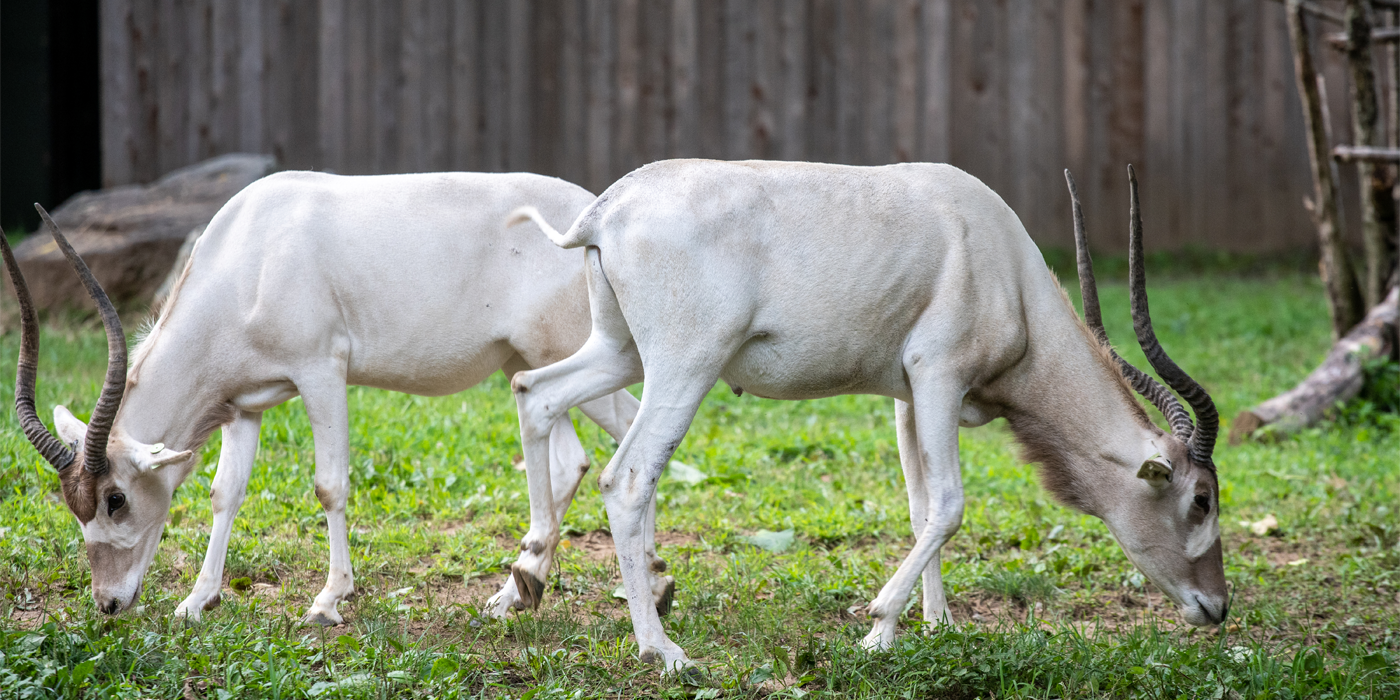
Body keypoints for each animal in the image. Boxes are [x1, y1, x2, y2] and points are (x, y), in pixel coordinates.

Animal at [0, 172, 646, 627]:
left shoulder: (321, 373)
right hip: (526, 361)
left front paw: (328, 600)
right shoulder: (244, 406)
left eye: (114, 499)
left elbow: (329, 485)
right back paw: (517, 593)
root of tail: (598, 213)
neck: (249, 259)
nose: (108, 603)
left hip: (584, 354)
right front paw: (197, 600)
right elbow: (224, 493)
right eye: (74, 508)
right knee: (570, 459)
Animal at [506, 161, 1226, 669]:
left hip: (619, 351)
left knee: (535, 391)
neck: (1004, 267)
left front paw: (936, 625)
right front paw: (878, 629)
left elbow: (921, 507)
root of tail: (606, 212)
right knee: (627, 477)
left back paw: (526, 581)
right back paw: (663, 651)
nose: (1216, 606)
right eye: (1200, 499)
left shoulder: (910, 397)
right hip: (685, 364)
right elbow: (951, 504)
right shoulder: (939, 376)